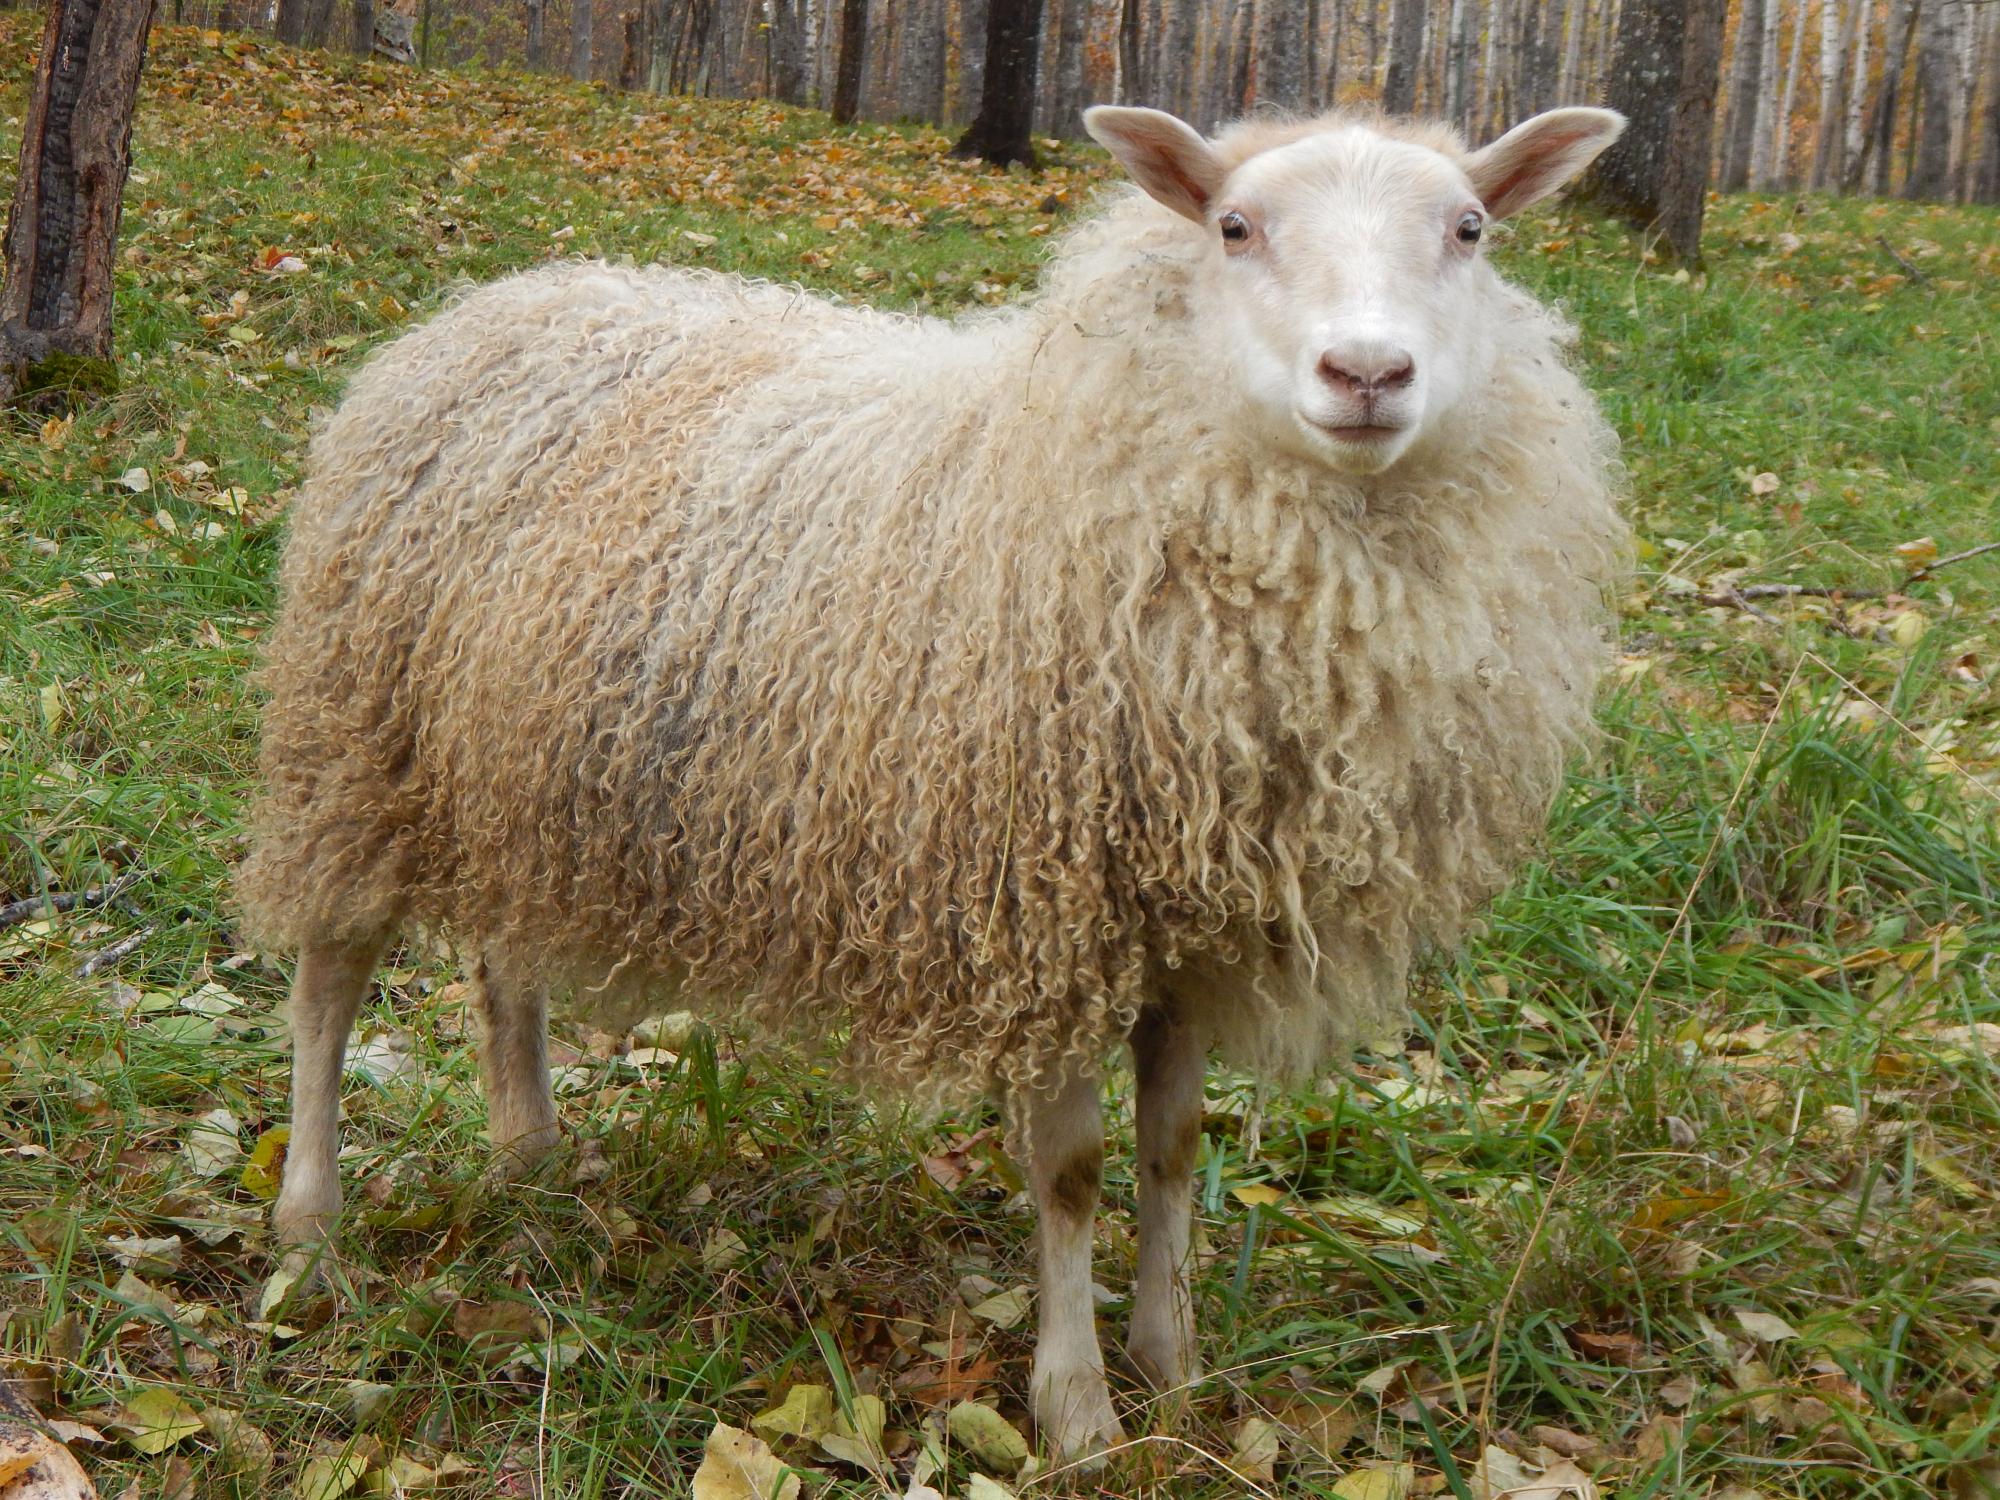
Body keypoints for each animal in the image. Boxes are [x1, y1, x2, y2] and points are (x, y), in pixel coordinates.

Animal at [241, 101, 1628, 1463]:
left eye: (1469, 228)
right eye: (1234, 226)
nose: (1368, 375)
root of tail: (490, 301)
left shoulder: (1185, 929)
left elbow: (1173, 1148)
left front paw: (1172, 1368)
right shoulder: (1047, 909)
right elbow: (1071, 1170)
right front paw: (1076, 1414)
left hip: (517, 772)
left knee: (502, 962)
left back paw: (528, 1155)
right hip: (355, 743)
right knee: (327, 982)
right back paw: (310, 1224)